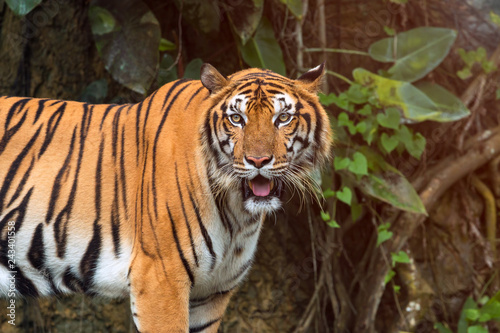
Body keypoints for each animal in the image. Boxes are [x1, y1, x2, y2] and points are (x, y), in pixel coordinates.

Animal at [0, 63, 332, 330]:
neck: (238, 213)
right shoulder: (160, 278)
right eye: (237, 119)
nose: (258, 161)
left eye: (284, 117)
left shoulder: (211, 293)